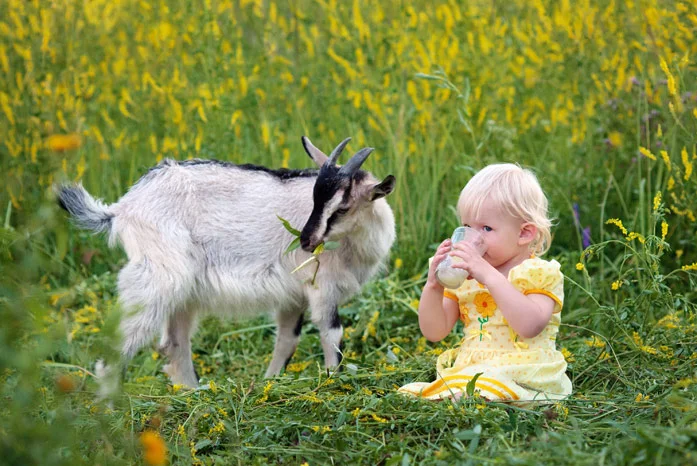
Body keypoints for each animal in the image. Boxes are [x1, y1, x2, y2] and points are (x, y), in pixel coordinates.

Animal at [57, 137, 394, 388]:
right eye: (315, 198)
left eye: (343, 207)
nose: (306, 242)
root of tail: (120, 209)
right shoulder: (321, 286)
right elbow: (331, 334)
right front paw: (332, 382)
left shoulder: (292, 296)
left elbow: (287, 340)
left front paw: (269, 384)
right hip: (156, 277)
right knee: (117, 351)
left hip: (182, 291)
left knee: (174, 344)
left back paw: (191, 395)